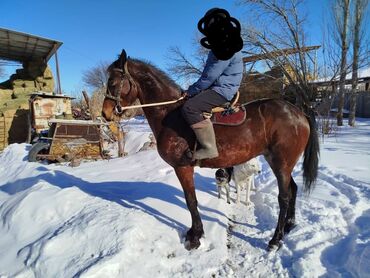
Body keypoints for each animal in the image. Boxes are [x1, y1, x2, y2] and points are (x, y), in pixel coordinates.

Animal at [102, 50, 320, 252]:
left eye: (112, 81)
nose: (105, 113)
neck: (170, 115)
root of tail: (298, 113)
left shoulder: (182, 167)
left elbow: (191, 201)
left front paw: (195, 236)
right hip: (281, 163)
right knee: (293, 189)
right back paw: (288, 226)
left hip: (281, 163)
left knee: (284, 197)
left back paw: (275, 240)